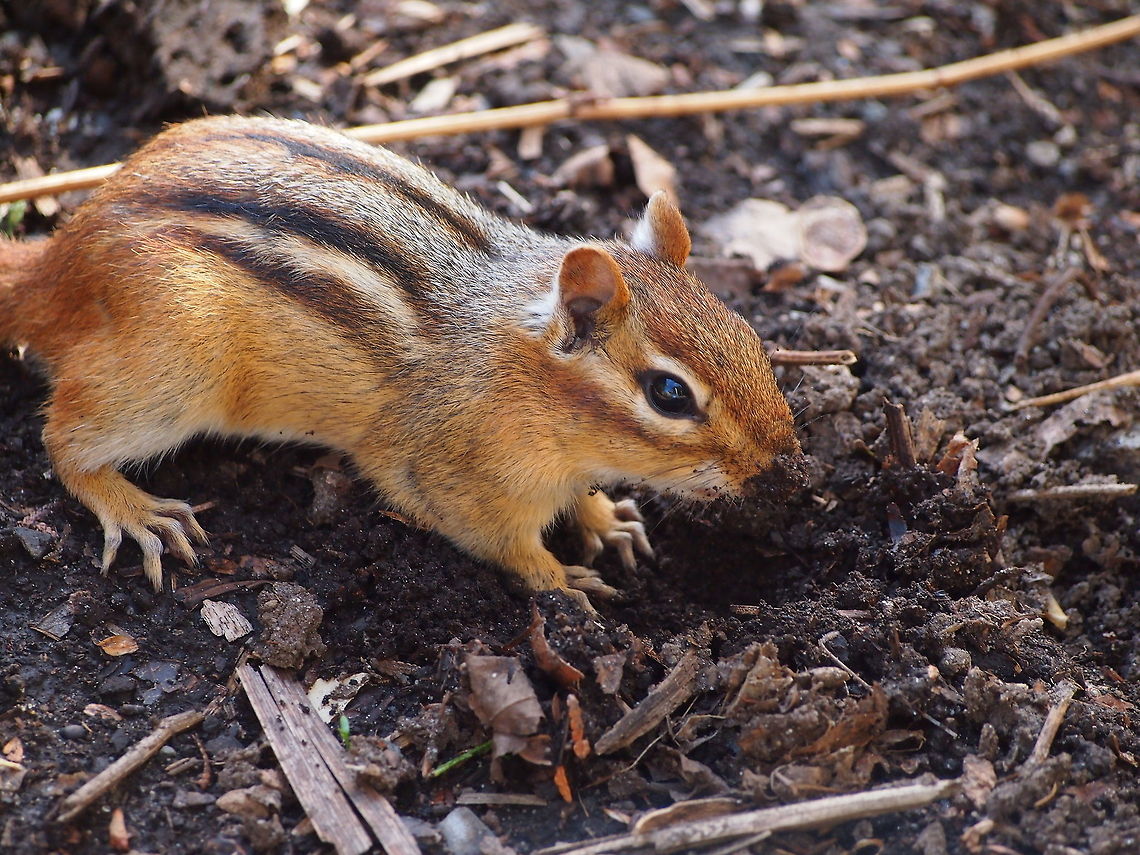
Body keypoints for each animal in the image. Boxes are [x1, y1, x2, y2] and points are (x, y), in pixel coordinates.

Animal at [0, 116, 802, 609]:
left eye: (746, 331)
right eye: (669, 393)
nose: (783, 468)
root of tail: (61, 257)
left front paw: (607, 520)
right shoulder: (453, 478)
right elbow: (503, 541)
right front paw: (559, 578)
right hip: (168, 368)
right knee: (65, 438)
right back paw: (133, 508)